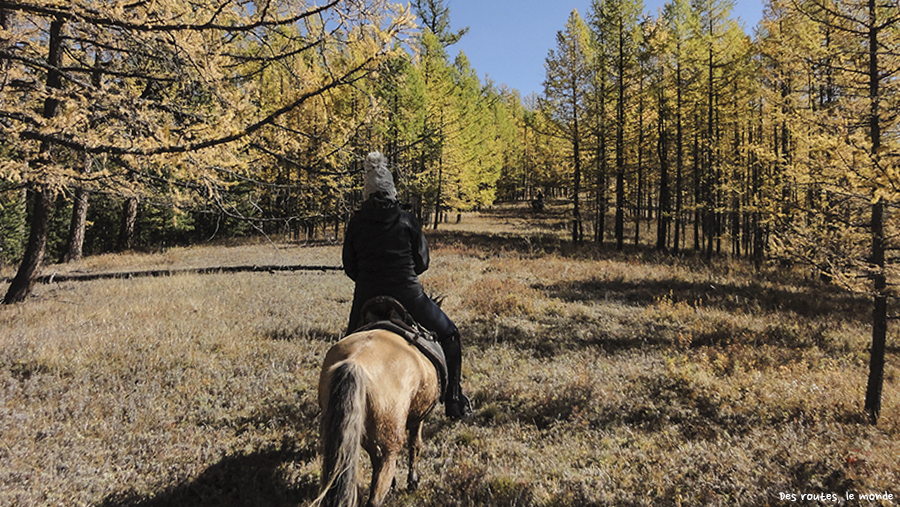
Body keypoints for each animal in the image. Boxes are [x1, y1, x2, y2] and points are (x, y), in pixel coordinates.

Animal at [312, 328, 442, 506]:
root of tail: (357, 362)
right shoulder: (418, 418)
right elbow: (415, 444)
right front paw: (413, 481)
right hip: (388, 450)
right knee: (376, 496)